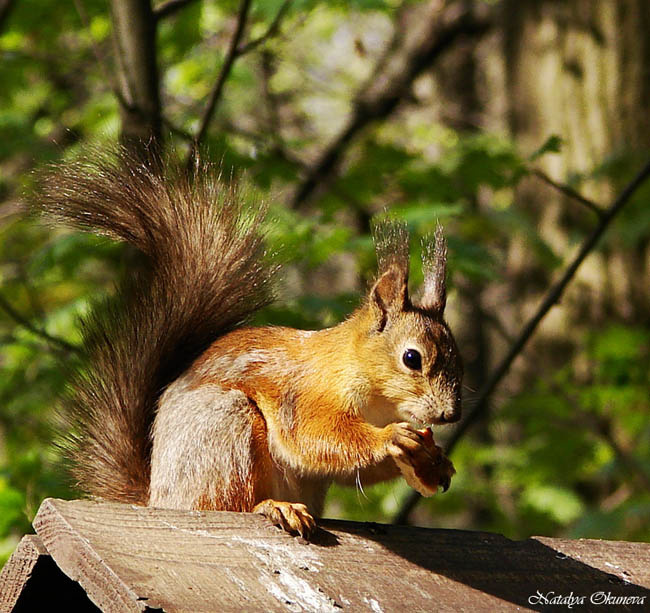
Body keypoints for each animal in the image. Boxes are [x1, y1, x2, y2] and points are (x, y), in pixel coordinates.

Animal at [34, 149, 463, 537]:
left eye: (458, 358)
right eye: (412, 358)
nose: (450, 415)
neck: (372, 394)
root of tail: (158, 499)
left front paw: (433, 461)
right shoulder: (302, 394)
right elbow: (315, 437)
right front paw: (392, 437)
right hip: (224, 432)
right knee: (227, 505)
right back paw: (274, 507)